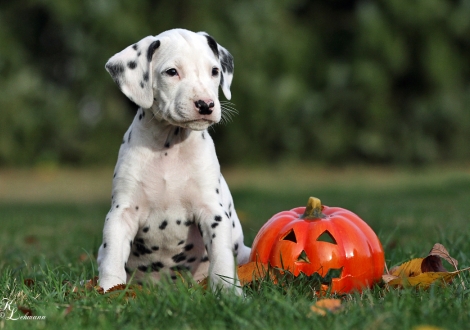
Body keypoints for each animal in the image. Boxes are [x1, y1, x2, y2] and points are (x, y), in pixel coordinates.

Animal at [97, 28, 252, 294]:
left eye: (214, 71)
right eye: (172, 72)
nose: (205, 104)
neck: (169, 147)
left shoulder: (213, 212)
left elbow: (222, 259)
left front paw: (228, 292)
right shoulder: (121, 213)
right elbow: (112, 256)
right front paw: (108, 290)